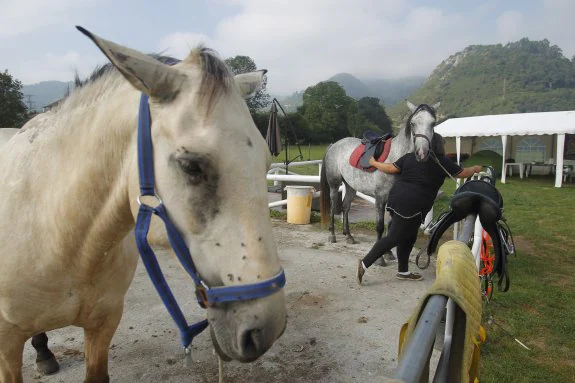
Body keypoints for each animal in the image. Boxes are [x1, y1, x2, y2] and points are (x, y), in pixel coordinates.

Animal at [320, 101, 440, 246]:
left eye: (433, 123)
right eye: (413, 123)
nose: (422, 153)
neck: (395, 160)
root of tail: (334, 145)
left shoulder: (392, 200)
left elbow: (390, 226)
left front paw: (388, 251)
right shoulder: (380, 198)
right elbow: (380, 226)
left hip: (351, 186)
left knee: (345, 207)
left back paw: (348, 235)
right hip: (334, 184)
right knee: (333, 207)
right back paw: (332, 234)